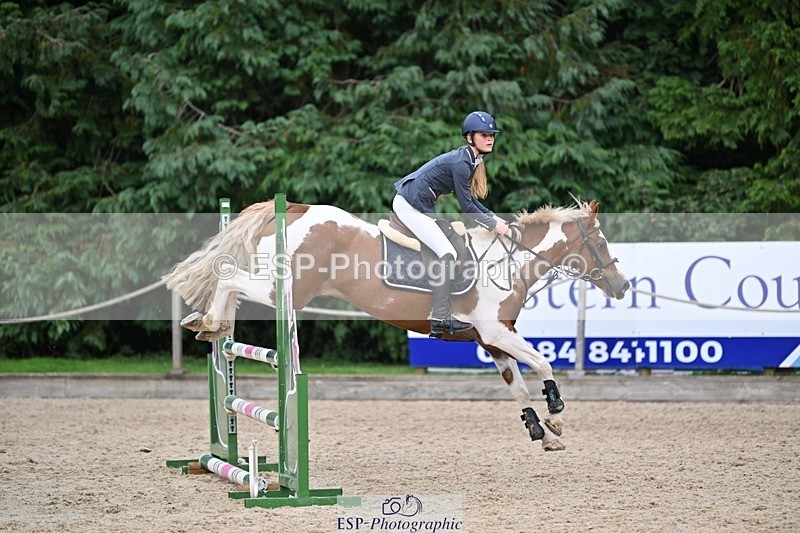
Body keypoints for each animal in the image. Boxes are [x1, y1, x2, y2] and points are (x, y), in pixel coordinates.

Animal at [164, 198, 630, 451]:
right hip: (287, 288)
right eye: (600, 241)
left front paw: (541, 431)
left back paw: (208, 325)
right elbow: (544, 363)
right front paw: (555, 413)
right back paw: (210, 322)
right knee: (229, 275)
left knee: (230, 278)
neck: (509, 260)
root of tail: (295, 208)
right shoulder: (497, 332)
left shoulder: (494, 341)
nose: (623, 286)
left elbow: (517, 385)